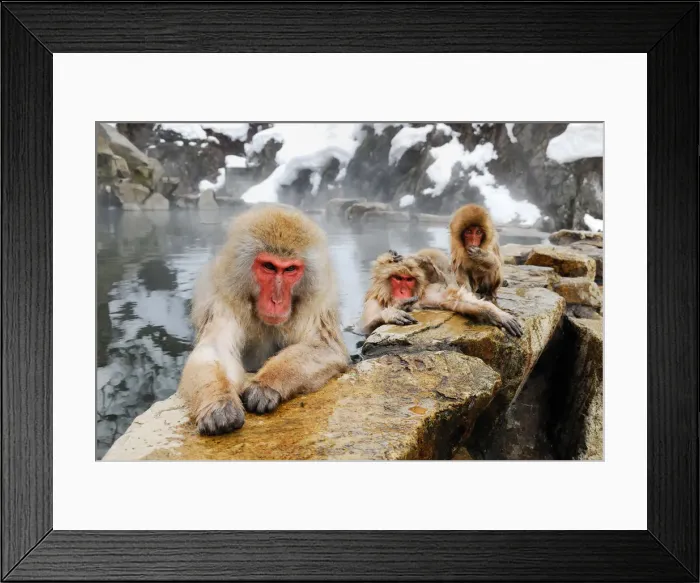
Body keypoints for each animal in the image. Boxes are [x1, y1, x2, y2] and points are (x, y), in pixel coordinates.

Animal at [178, 205, 349, 436]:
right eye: (269, 266)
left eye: (290, 269)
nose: (276, 301)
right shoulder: (222, 297)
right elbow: (214, 348)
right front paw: (219, 404)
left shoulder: (318, 300)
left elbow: (324, 346)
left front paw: (266, 385)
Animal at [359, 248, 522, 337]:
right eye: (398, 278)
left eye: (408, 280)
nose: (402, 291)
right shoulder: (372, 302)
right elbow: (364, 329)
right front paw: (392, 313)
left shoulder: (424, 296)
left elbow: (454, 300)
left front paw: (496, 314)